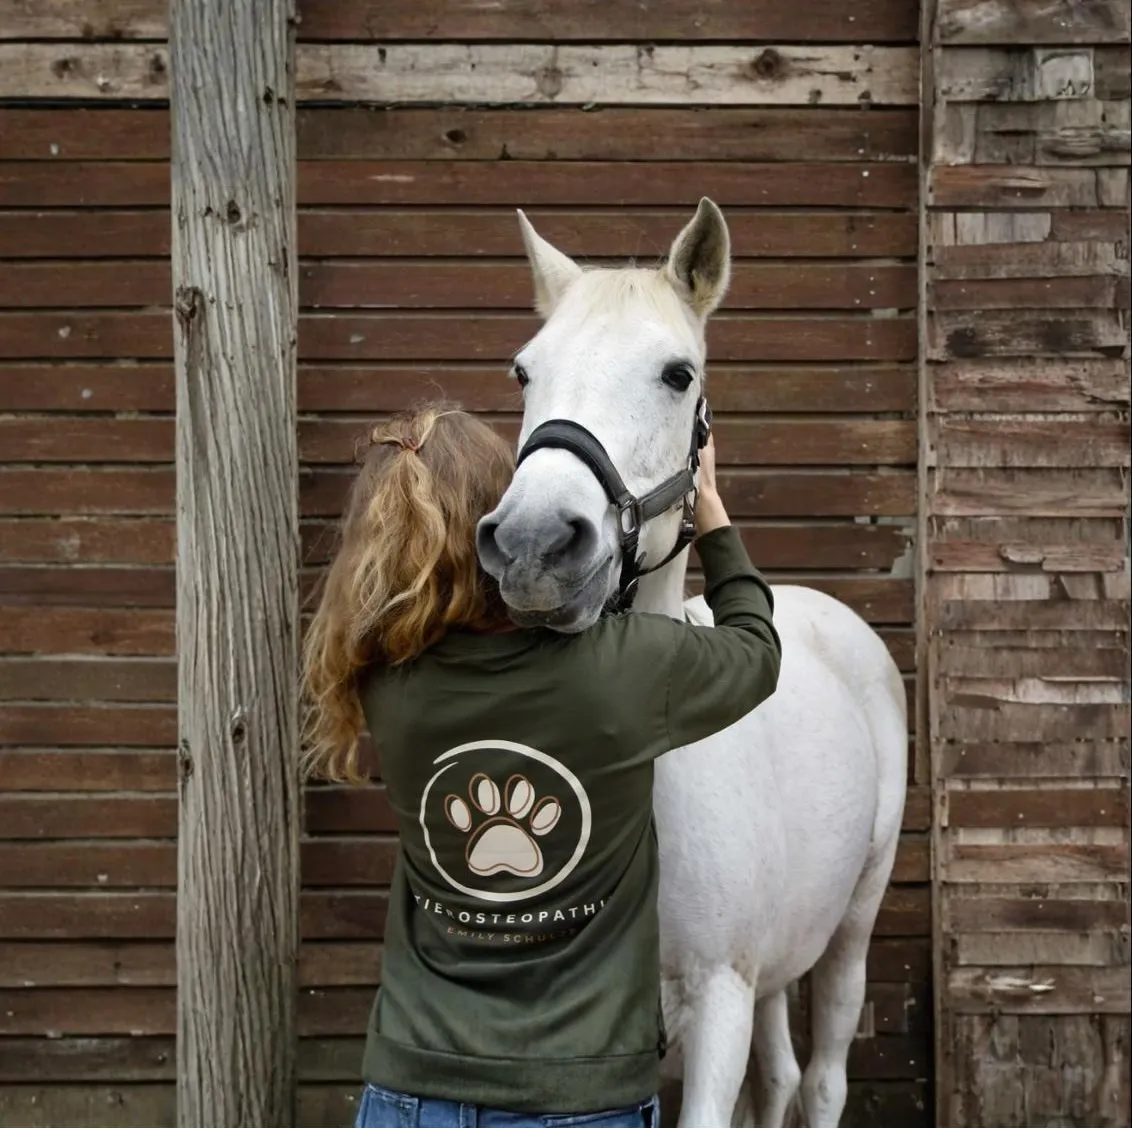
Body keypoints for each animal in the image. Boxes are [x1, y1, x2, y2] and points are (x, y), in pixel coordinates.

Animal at [474, 198, 908, 1128]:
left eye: (678, 374)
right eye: (525, 373)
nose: (533, 545)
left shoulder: (718, 1007)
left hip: (851, 932)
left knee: (823, 1079)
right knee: (780, 1078)